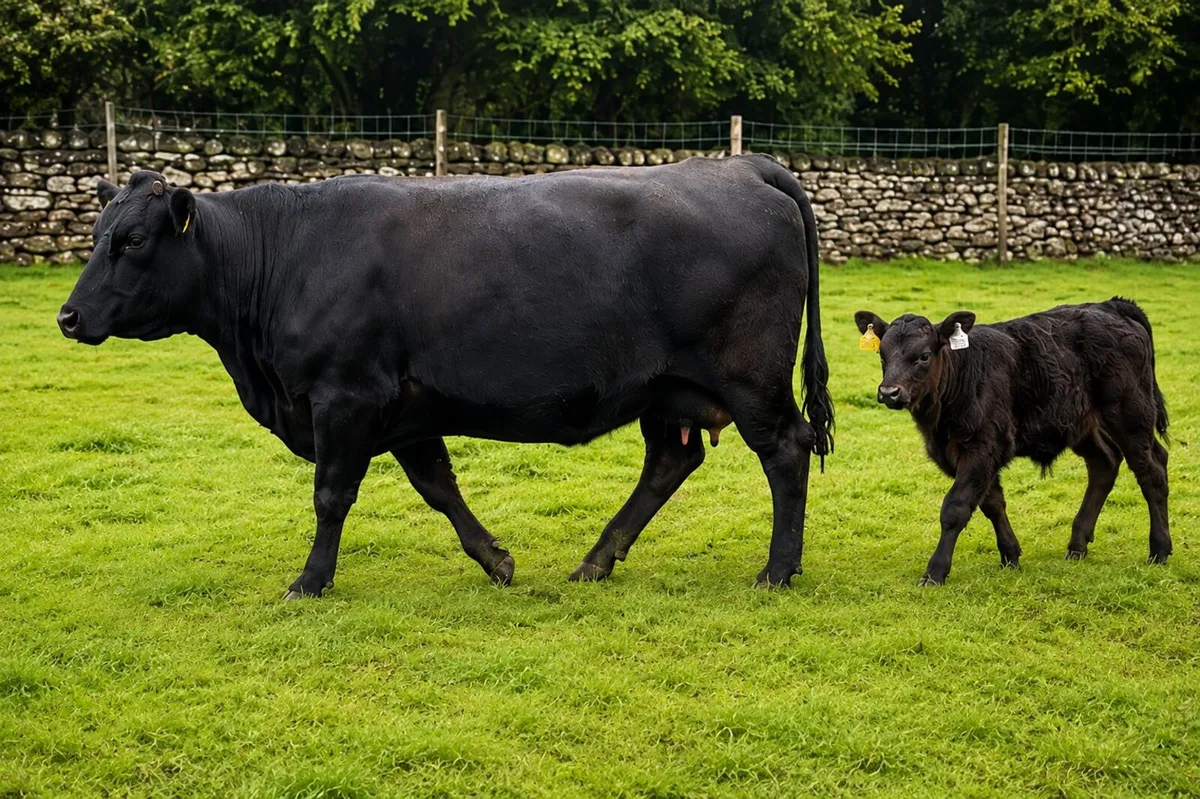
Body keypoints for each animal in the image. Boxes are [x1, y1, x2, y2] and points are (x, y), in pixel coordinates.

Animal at [58, 155, 834, 598]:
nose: (68, 316)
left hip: (749, 377)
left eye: (132, 240)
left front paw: (310, 581)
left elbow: (331, 496)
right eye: (95, 235)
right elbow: (439, 487)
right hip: (667, 387)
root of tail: (742, 165)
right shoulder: (406, 409)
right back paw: (595, 562)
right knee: (669, 462)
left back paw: (777, 571)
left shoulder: (345, 396)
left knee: (786, 451)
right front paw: (496, 561)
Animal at [853, 299, 1170, 585]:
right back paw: (1078, 544)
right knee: (1105, 464)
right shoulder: (971, 455)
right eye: (882, 355)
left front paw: (935, 571)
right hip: (1080, 423)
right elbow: (992, 503)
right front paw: (1010, 555)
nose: (889, 392)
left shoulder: (982, 447)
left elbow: (955, 508)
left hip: (1131, 414)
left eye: (924, 356)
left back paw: (1159, 550)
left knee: (1152, 471)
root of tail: (1112, 305)